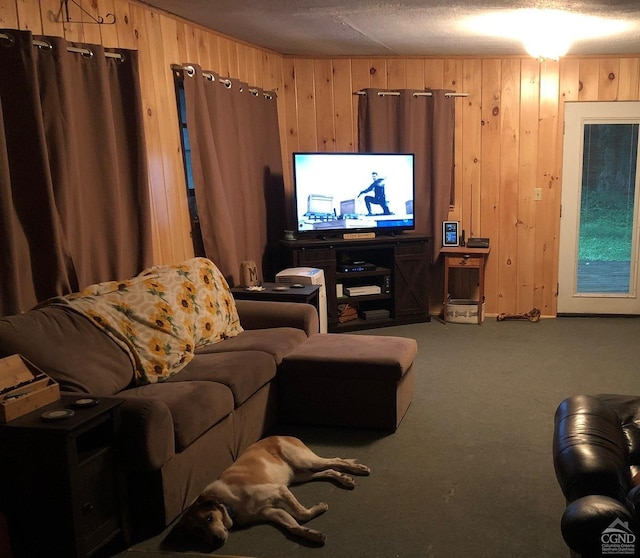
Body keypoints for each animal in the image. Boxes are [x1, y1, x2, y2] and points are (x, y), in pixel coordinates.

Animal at [176, 438, 370, 548]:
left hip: (305, 462)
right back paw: (345, 479)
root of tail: (281, 435)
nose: (216, 541)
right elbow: (293, 527)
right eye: (198, 532)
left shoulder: (280, 490)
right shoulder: (270, 512)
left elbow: (301, 512)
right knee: (329, 470)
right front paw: (312, 534)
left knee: (336, 460)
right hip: (300, 474)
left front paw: (319, 508)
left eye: (209, 518)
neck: (228, 504)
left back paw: (359, 469)